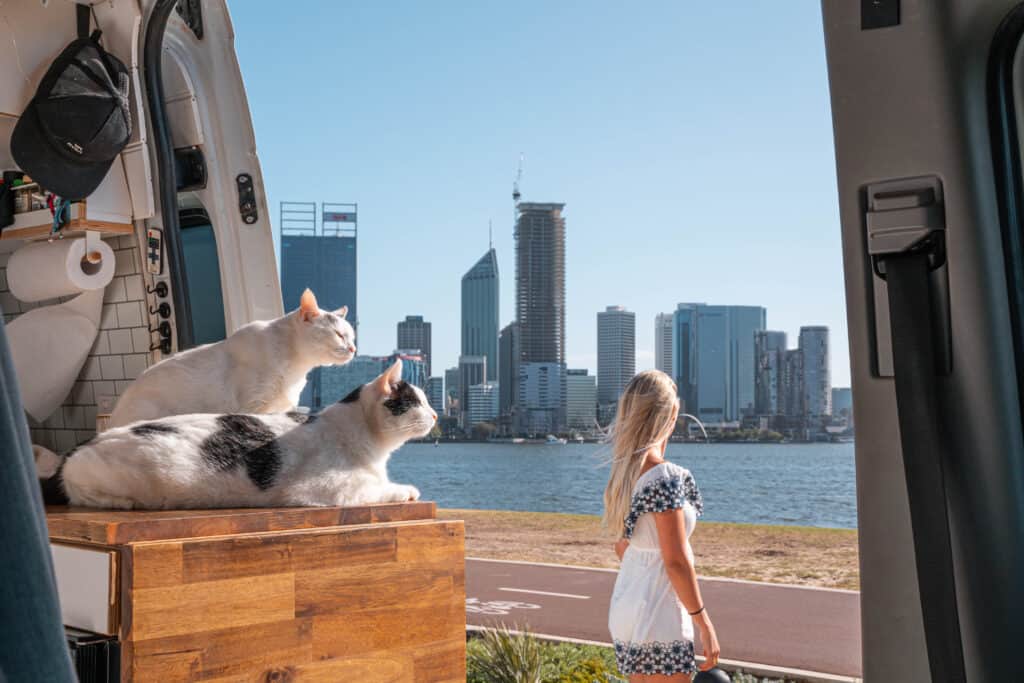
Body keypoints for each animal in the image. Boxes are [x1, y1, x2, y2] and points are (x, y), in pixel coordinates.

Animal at [37, 360, 432, 509]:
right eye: (416, 402)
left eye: (428, 401)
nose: (434, 414)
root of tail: (81, 446)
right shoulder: (329, 490)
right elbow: (380, 489)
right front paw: (406, 490)